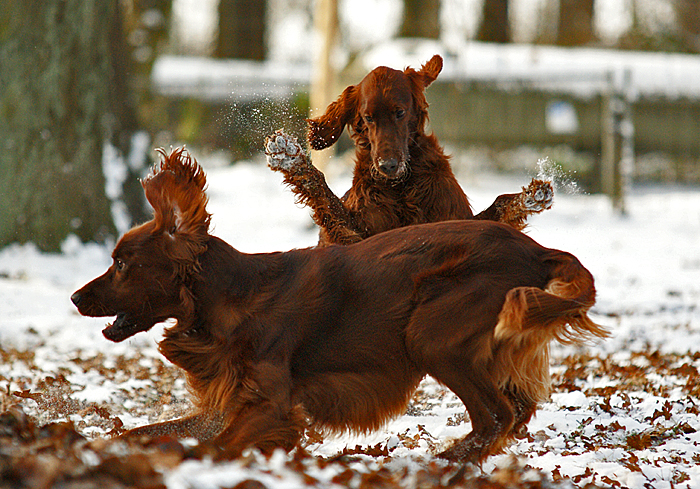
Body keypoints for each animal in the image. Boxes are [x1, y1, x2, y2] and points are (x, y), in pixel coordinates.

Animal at [72, 148, 608, 462]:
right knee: (514, 413)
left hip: (430, 336)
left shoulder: (272, 404)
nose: (76, 297)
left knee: (494, 417)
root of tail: (536, 250)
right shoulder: (230, 403)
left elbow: (214, 447)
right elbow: (142, 432)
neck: (233, 301)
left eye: (121, 263)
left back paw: (443, 465)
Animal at [266, 53, 552, 246]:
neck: (401, 186)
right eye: (368, 117)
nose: (388, 166)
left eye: (400, 112)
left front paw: (530, 196)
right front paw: (290, 158)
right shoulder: (358, 235)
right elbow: (323, 192)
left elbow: (499, 204)